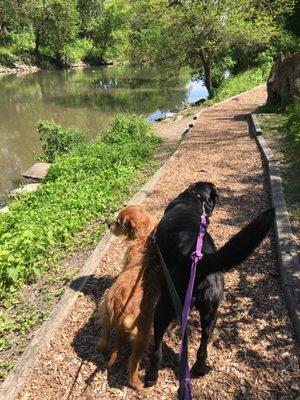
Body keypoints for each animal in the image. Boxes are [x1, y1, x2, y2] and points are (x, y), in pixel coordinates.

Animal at [94, 206, 161, 390]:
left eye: (118, 222)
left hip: (105, 310)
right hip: (142, 334)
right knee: (132, 362)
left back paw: (102, 348)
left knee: (104, 337)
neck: (144, 235)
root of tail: (119, 307)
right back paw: (136, 383)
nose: (108, 224)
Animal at [145, 183, 274, 386]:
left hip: (164, 307)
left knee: (157, 349)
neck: (193, 198)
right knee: (203, 348)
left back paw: (151, 376)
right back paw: (200, 369)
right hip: (211, 314)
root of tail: (199, 261)